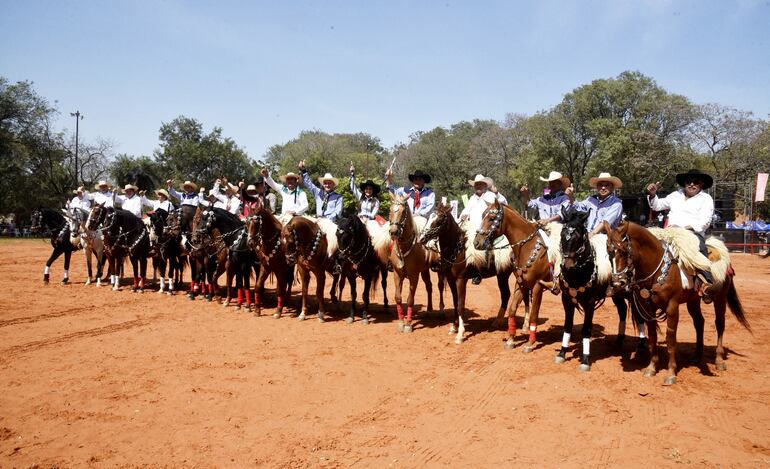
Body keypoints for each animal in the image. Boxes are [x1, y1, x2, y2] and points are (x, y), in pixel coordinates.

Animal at [384, 193, 444, 332]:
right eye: (390, 210)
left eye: (403, 211)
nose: (393, 232)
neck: (405, 248)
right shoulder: (397, 274)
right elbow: (398, 298)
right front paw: (401, 322)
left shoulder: (414, 276)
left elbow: (410, 299)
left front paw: (408, 324)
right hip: (425, 270)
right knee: (429, 286)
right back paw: (429, 310)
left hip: (440, 270)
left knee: (440, 286)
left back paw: (441, 311)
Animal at [414, 201, 510, 344]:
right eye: (429, 217)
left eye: (440, 219)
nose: (421, 238)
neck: (457, 249)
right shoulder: (451, 280)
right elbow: (455, 303)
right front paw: (454, 327)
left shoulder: (461, 280)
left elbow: (460, 304)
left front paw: (460, 334)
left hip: (505, 275)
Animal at [468, 197, 560, 352]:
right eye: (482, 216)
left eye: (492, 218)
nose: (477, 242)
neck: (529, 248)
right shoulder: (521, 284)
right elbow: (512, 309)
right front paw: (511, 340)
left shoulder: (538, 286)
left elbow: (534, 314)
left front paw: (530, 343)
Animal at [604, 219, 748, 384]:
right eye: (608, 251)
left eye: (623, 251)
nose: (617, 283)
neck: (658, 268)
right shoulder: (648, 307)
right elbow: (652, 336)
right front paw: (651, 368)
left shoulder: (672, 307)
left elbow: (671, 338)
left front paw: (671, 373)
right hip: (693, 300)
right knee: (699, 322)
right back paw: (697, 356)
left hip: (720, 298)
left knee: (719, 324)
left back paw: (719, 360)